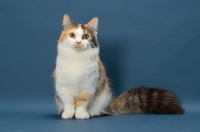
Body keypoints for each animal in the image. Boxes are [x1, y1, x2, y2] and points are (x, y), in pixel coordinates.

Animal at [53, 14, 184, 119]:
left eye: (85, 37)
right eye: (72, 35)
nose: (78, 42)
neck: (77, 58)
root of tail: (110, 105)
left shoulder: (88, 87)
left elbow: (81, 103)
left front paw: (81, 114)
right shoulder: (62, 87)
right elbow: (69, 103)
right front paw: (68, 114)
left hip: (104, 95)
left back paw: (93, 113)